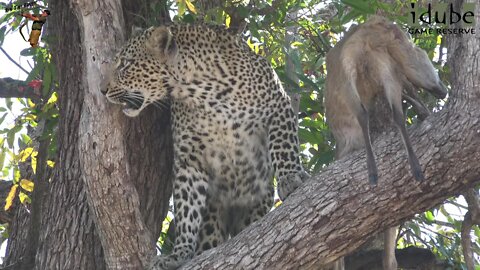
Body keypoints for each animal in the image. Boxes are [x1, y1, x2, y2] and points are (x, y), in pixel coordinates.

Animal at [102, 24, 310, 268]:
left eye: (125, 64)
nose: (102, 90)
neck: (200, 91)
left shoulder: (278, 105)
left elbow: (283, 146)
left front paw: (290, 178)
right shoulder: (191, 159)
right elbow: (187, 207)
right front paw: (180, 253)